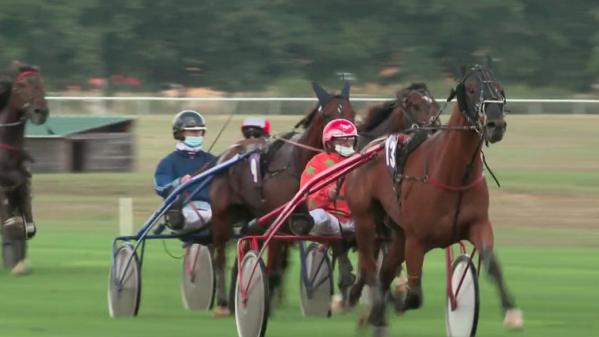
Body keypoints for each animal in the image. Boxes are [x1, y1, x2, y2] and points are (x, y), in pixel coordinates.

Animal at [209, 81, 356, 316]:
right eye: (327, 114)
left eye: (352, 113)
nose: (349, 138)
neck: (298, 164)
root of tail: (227, 156)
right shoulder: (280, 224)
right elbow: (274, 268)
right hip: (222, 215)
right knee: (220, 256)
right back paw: (223, 302)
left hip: (252, 216)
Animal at [344, 64, 524, 332]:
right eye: (472, 89)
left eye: (500, 89)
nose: (496, 124)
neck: (454, 174)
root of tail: (367, 150)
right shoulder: (416, 240)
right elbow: (415, 296)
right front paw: (396, 303)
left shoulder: (478, 224)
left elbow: (492, 264)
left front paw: (511, 312)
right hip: (366, 221)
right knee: (370, 270)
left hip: (397, 233)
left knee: (383, 273)